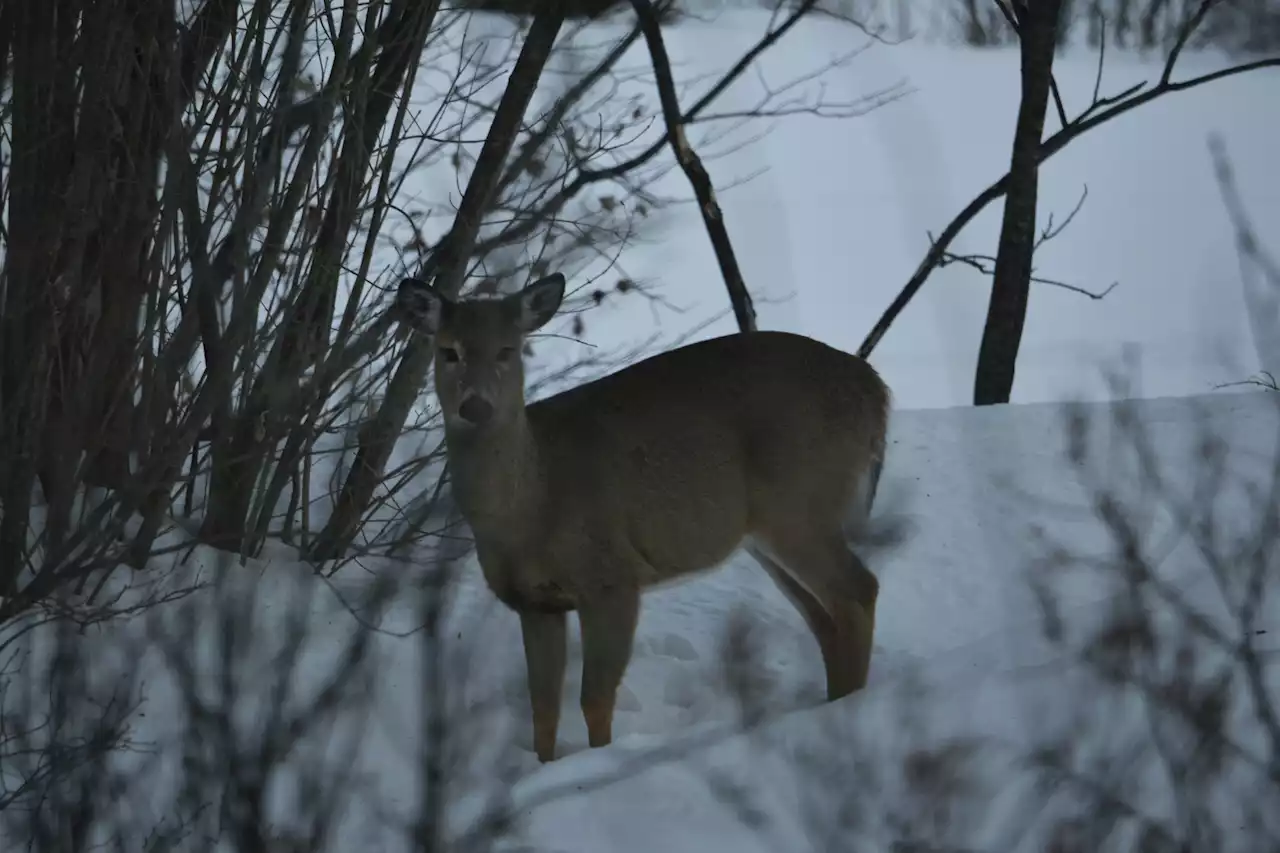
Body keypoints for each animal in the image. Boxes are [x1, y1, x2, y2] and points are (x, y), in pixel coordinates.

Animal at [396, 270, 890, 758]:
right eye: (448, 351)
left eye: (507, 350)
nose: (475, 405)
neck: (531, 506)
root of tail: (874, 388)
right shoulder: (534, 603)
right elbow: (542, 709)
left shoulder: (611, 577)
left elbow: (594, 699)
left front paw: (600, 761)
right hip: (768, 532)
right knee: (825, 618)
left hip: (799, 503)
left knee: (858, 590)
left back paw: (851, 712)